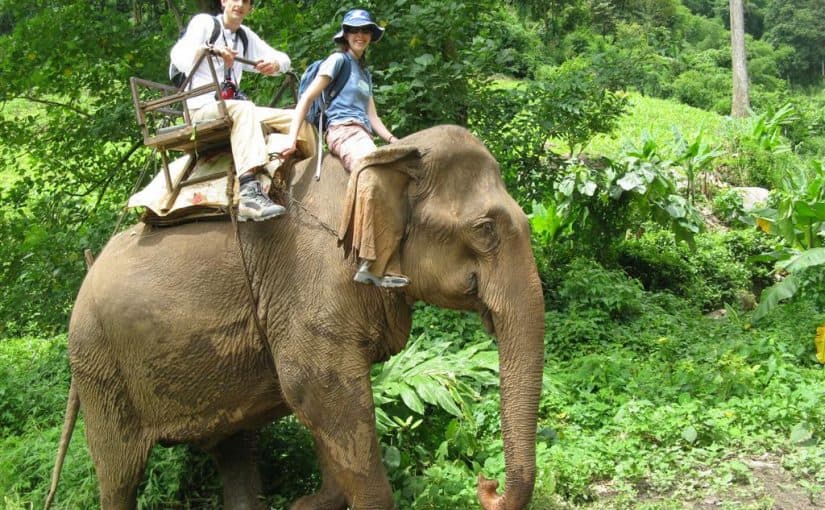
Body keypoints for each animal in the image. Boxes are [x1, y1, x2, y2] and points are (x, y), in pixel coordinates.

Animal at [45, 125, 545, 510]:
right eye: (484, 230)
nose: (487, 483)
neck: (391, 158)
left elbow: (325, 404)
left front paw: (308, 503)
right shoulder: (312, 284)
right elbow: (318, 388)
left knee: (234, 448)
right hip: (99, 367)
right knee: (119, 473)